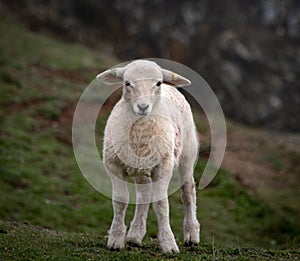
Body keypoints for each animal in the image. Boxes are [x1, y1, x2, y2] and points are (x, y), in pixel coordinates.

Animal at [96, 59, 199, 252]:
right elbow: (120, 201)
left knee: (188, 191)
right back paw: (135, 235)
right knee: (143, 195)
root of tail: (172, 86)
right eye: (127, 83)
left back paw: (192, 235)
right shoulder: (113, 165)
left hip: (188, 154)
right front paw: (116, 239)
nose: (143, 107)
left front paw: (168, 243)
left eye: (157, 83)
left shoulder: (164, 166)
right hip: (141, 168)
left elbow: (161, 204)